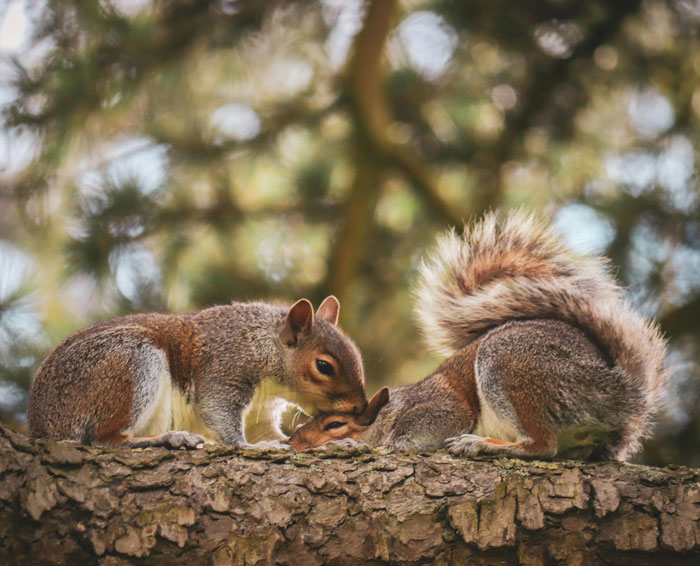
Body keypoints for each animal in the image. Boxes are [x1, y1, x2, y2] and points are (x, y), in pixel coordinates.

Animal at [28, 296, 367, 448]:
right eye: (323, 366)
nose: (361, 408)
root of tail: (42, 424)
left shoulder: (261, 412)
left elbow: (276, 434)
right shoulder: (225, 367)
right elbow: (218, 410)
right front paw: (249, 446)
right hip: (132, 361)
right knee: (104, 439)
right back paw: (169, 437)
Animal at [289, 211, 669, 461]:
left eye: (335, 424)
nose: (293, 443)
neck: (391, 410)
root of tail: (622, 394)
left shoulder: (440, 410)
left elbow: (405, 440)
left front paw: (354, 445)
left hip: (512, 368)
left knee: (542, 446)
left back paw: (479, 443)